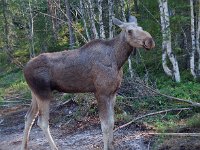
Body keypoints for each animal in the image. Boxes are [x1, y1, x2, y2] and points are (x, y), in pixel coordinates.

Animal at [20, 15, 155, 149]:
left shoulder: (113, 93)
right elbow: (105, 125)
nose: (150, 41)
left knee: (28, 117)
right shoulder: (101, 93)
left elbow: (112, 122)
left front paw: (111, 145)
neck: (118, 60)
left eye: (141, 27)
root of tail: (24, 69)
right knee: (42, 122)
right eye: (129, 31)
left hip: (35, 93)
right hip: (43, 93)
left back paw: (24, 146)